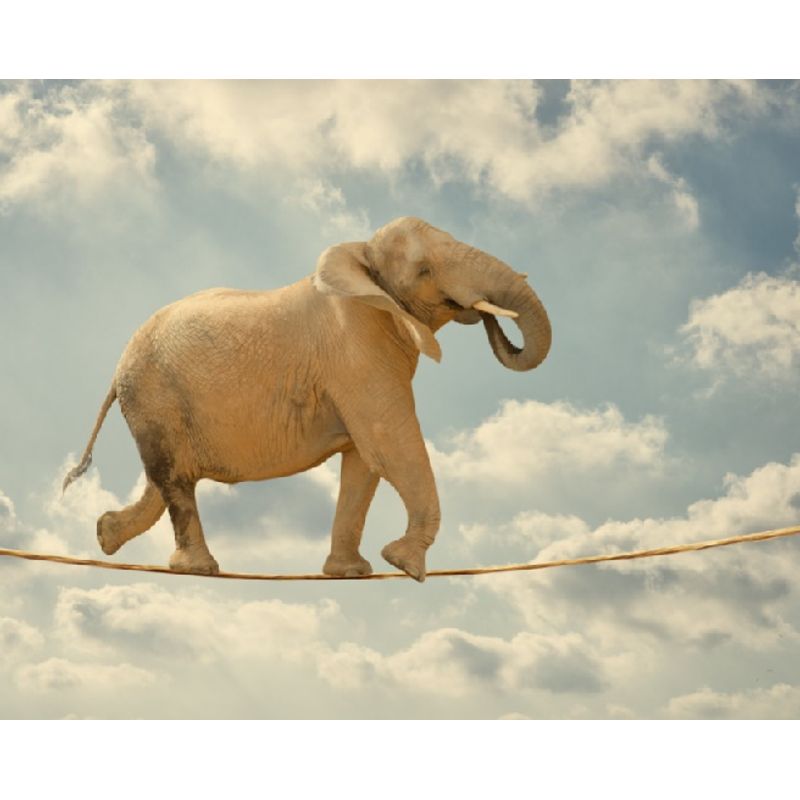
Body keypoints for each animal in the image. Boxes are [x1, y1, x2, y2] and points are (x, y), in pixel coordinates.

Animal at [62, 216, 551, 582]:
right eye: (424, 271)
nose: (488, 315)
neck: (360, 258)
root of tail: (118, 367)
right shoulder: (356, 351)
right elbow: (387, 444)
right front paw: (404, 564)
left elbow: (364, 462)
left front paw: (351, 573)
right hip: (154, 393)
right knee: (174, 477)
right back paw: (198, 569)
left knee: (163, 478)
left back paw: (105, 535)